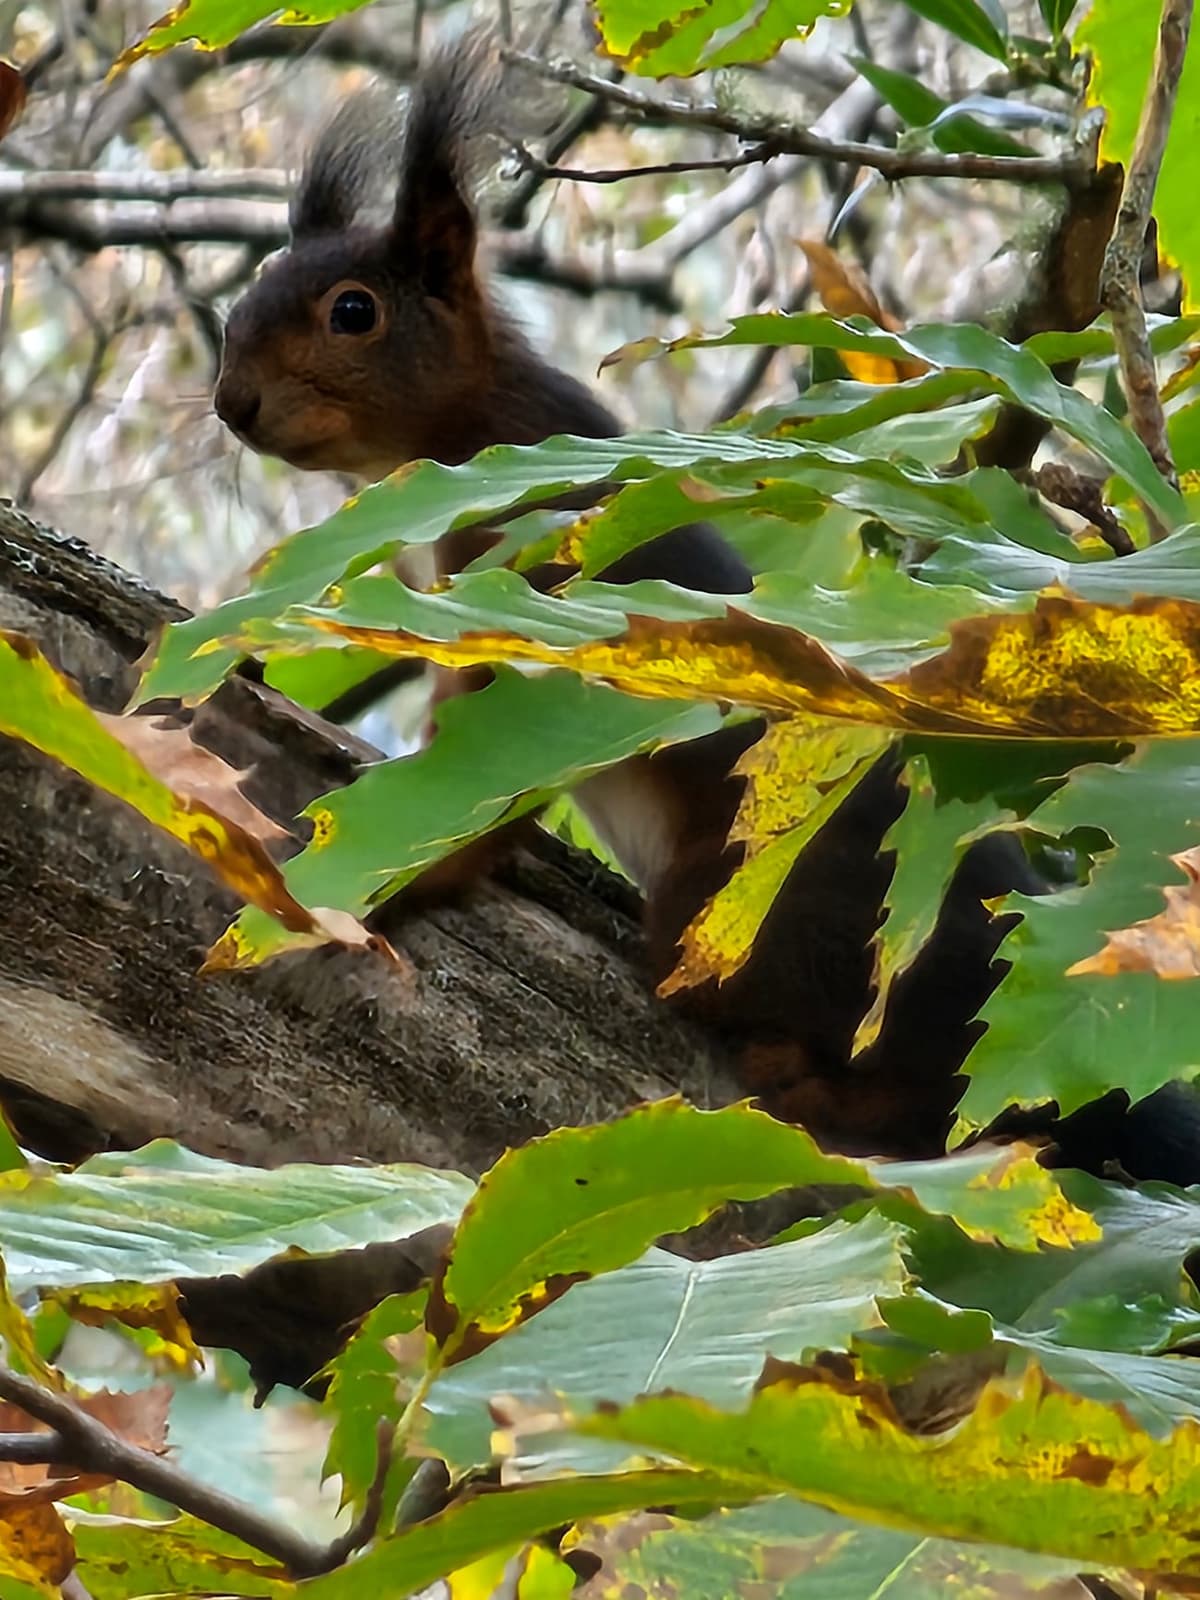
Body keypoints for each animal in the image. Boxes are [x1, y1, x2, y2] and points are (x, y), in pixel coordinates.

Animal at [214, 32, 1200, 1181]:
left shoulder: (529, 588)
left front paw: (391, 882)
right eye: (246, 298)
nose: (231, 402)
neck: (475, 430)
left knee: (948, 1106)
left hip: (743, 912)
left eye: (353, 311)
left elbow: (475, 794)